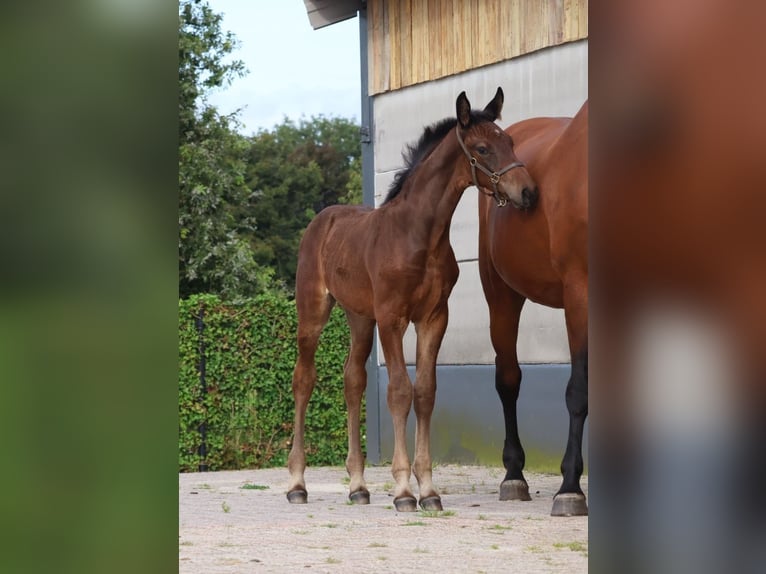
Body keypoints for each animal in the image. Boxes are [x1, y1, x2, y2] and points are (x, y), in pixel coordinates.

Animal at [288, 89, 540, 512]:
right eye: (483, 148)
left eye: (510, 142)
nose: (528, 192)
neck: (419, 235)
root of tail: (321, 221)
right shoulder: (393, 318)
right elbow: (399, 391)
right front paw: (404, 490)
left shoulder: (433, 318)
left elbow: (424, 392)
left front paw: (429, 490)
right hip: (314, 311)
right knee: (304, 379)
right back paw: (296, 483)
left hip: (360, 318)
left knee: (353, 380)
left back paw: (358, 485)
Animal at [476, 101, 592, 520]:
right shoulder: (581, 292)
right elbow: (578, 391)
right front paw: (570, 487)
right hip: (501, 295)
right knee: (508, 380)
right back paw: (514, 475)